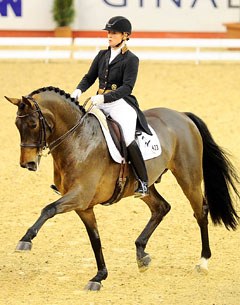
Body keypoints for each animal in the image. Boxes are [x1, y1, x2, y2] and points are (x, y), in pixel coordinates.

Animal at [4, 85, 239, 290]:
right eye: (16, 124)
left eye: (33, 124)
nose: (27, 164)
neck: (78, 140)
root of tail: (182, 116)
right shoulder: (83, 206)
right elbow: (95, 239)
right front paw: (99, 277)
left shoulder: (79, 196)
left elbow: (48, 209)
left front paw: (25, 240)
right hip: (144, 185)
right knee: (161, 207)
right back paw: (141, 255)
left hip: (188, 178)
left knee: (200, 212)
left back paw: (203, 262)